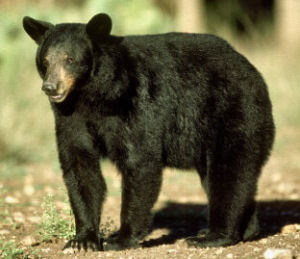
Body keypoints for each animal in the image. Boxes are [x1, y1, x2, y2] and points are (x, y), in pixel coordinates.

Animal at [22, 12, 276, 252]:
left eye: (70, 59)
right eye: (45, 60)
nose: (50, 87)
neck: (94, 96)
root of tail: (253, 71)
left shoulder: (137, 104)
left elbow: (140, 162)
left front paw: (121, 238)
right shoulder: (71, 117)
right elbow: (80, 165)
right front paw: (83, 240)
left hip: (233, 113)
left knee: (229, 173)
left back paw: (213, 236)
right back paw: (243, 230)